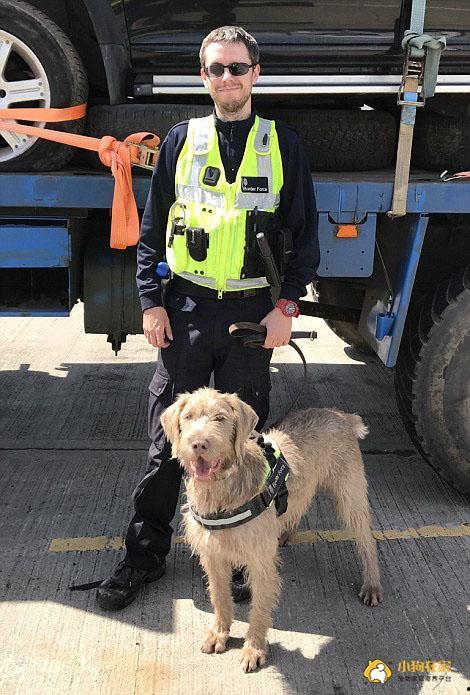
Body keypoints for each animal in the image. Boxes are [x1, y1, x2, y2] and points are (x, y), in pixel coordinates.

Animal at [160, 387, 383, 672]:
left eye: (220, 418)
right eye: (188, 417)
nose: (199, 444)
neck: (221, 490)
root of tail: (342, 415)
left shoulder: (260, 562)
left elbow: (258, 610)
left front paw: (253, 649)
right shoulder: (213, 556)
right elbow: (220, 598)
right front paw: (220, 633)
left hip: (350, 496)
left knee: (367, 540)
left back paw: (372, 584)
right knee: (299, 504)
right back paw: (286, 532)